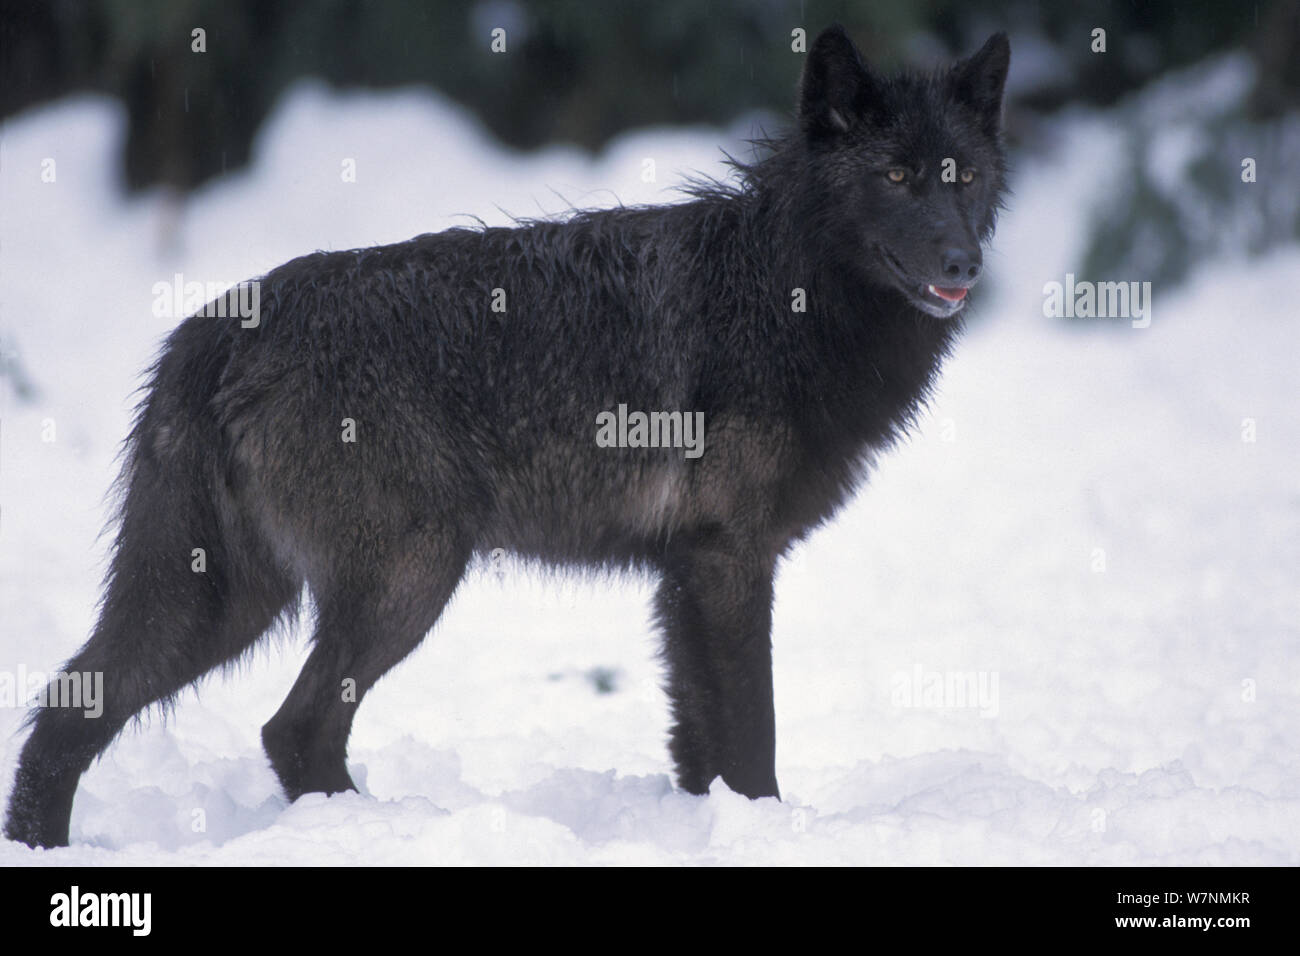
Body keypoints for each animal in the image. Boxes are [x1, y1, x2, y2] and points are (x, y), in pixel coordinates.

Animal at [5, 24, 1008, 842]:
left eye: (964, 177)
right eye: (894, 177)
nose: (965, 263)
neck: (783, 291)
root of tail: (218, 322)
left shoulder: (685, 571)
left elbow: (701, 745)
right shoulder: (730, 561)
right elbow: (750, 737)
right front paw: (763, 829)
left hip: (223, 602)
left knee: (68, 710)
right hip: (405, 579)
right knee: (291, 729)